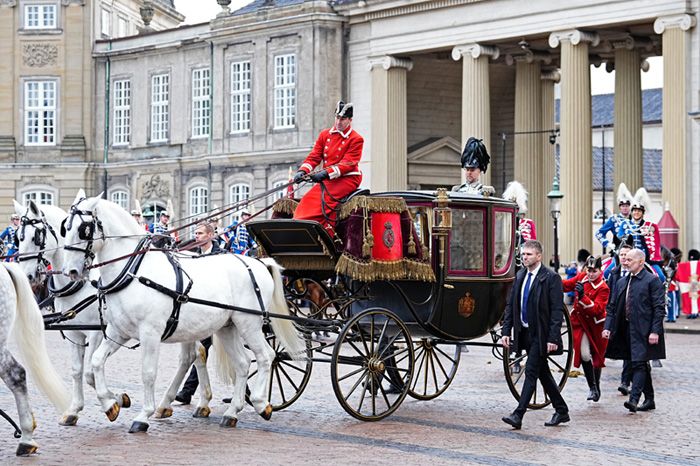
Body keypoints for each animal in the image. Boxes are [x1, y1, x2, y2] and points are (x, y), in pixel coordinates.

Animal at [13, 198, 132, 428]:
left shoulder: (97, 332)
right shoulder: (74, 333)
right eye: (18, 238)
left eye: (36, 236)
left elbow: (90, 372)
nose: (27, 276)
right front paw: (75, 409)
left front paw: (112, 402)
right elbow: (77, 371)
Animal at [58, 193, 302, 434]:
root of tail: (258, 263)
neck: (134, 271)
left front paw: (143, 415)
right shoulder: (119, 331)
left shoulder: (150, 333)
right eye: (64, 228)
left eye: (83, 229)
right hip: (228, 326)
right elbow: (96, 362)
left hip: (249, 323)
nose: (70, 271)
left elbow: (148, 372)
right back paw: (232, 412)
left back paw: (261, 403)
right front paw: (111, 404)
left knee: (266, 356)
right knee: (242, 364)